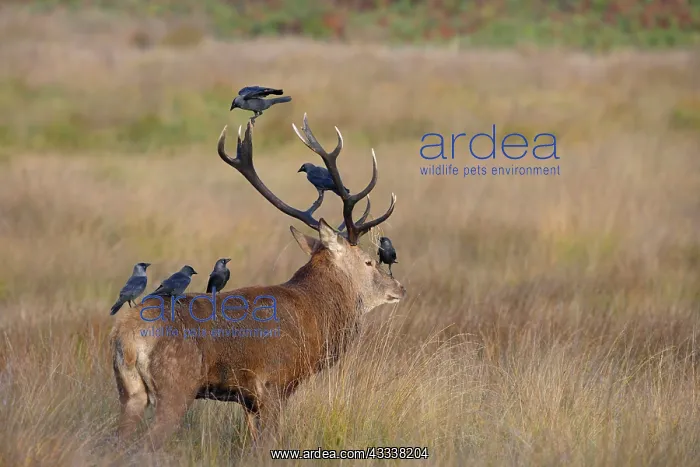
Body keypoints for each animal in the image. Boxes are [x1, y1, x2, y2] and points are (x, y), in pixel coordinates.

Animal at [109, 113, 406, 451]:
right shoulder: (275, 383)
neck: (315, 316)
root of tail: (126, 337)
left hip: (129, 392)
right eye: (369, 261)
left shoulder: (247, 399)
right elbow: (268, 445)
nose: (399, 288)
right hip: (177, 384)